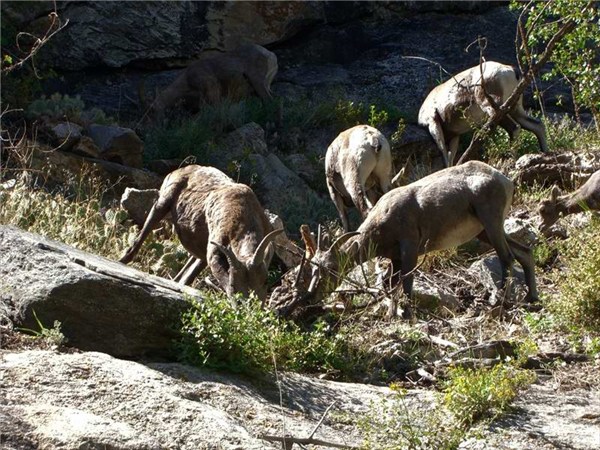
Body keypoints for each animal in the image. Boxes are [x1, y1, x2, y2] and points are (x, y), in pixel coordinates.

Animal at [121, 163, 284, 300]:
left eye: (265, 282)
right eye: (233, 284)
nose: (251, 305)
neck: (246, 216)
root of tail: (182, 169)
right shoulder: (215, 251)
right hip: (162, 204)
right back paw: (122, 261)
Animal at [308, 161, 536, 316]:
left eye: (332, 267)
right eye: (313, 268)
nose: (313, 294)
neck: (383, 219)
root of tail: (505, 181)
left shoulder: (409, 248)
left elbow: (407, 282)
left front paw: (408, 315)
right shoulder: (395, 258)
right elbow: (391, 284)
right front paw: (392, 314)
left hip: (491, 223)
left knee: (507, 257)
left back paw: (499, 302)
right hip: (484, 232)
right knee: (524, 252)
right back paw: (531, 298)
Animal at [418, 59, 548, 165]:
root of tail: (511, 71)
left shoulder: (433, 124)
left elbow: (444, 153)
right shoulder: (455, 136)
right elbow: (450, 157)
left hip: (494, 108)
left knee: (514, 128)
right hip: (515, 110)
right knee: (537, 126)